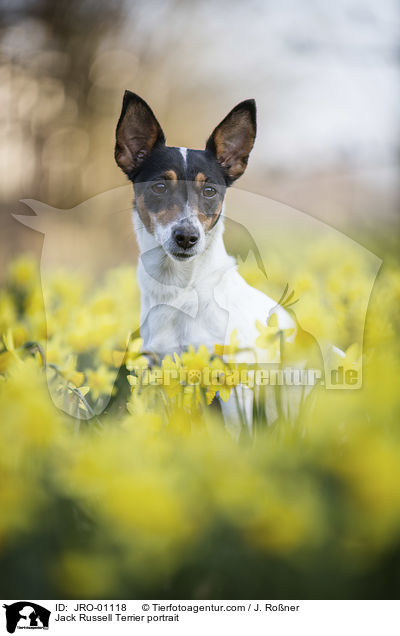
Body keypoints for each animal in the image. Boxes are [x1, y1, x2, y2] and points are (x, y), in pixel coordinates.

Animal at [115, 92, 310, 430]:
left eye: (209, 191)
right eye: (159, 187)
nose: (187, 236)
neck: (180, 289)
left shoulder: (233, 381)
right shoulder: (164, 372)